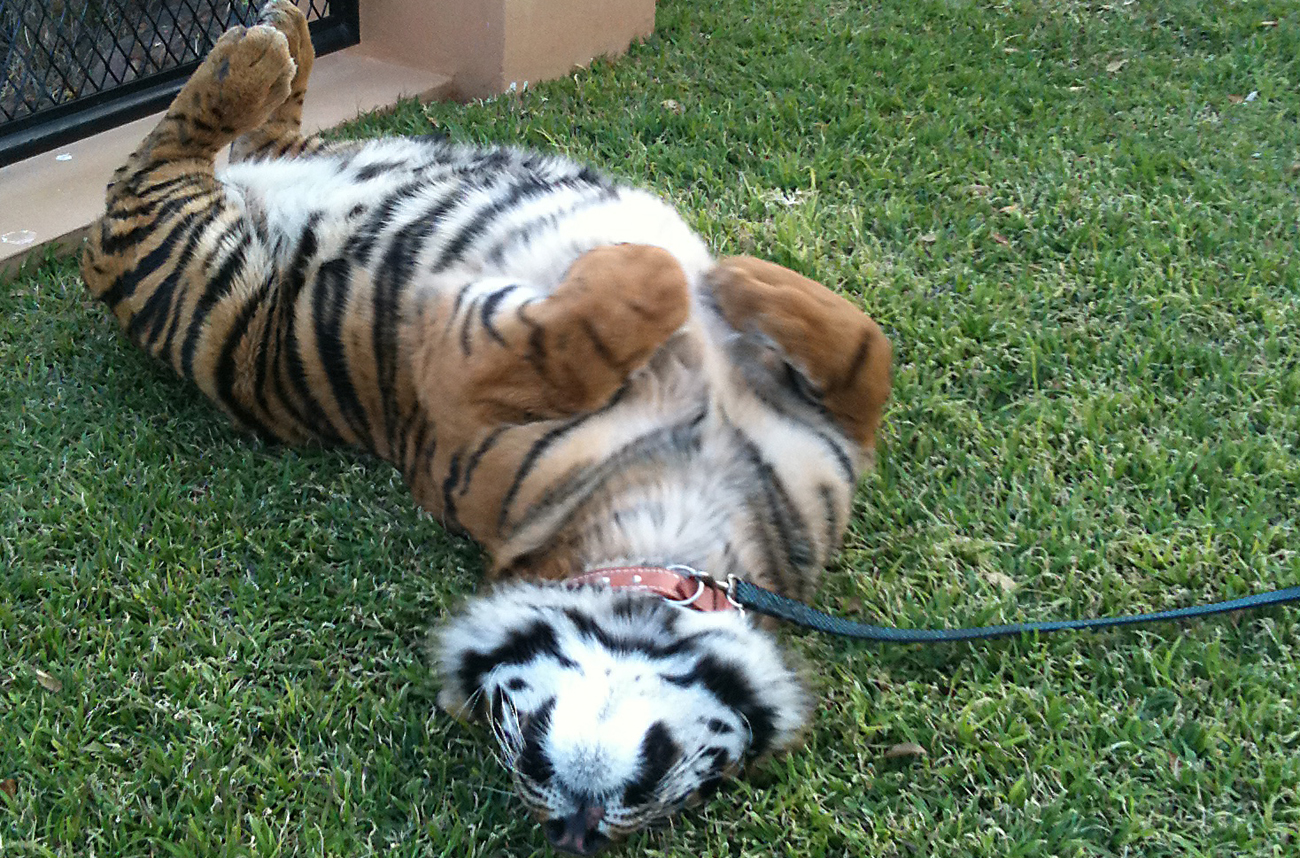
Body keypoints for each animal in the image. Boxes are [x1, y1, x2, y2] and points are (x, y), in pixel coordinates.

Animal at [79, 2, 892, 852]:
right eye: (516, 746)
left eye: (694, 793)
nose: (576, 830)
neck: (677, 546)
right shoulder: (456, 373)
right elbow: (843, 344)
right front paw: (720, 274)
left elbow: (856, 354)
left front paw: (723, 280)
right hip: (197, 274)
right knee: (161, 158)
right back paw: (261, 52)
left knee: (234, 146)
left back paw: (284, 41)